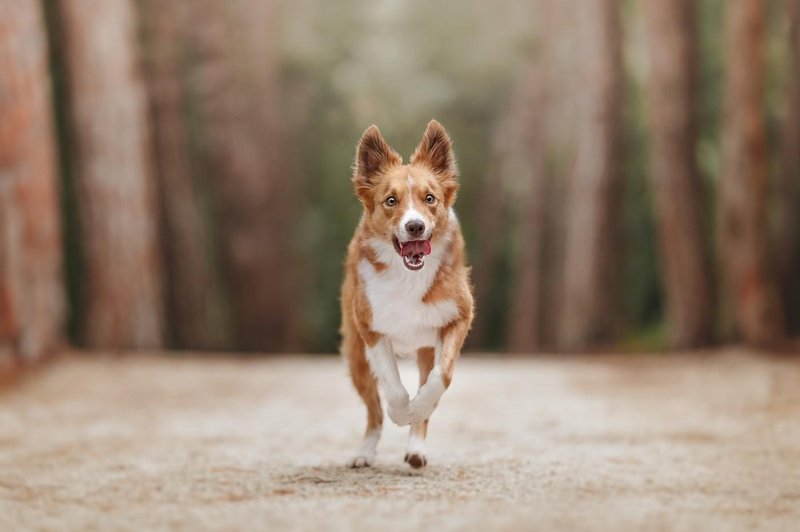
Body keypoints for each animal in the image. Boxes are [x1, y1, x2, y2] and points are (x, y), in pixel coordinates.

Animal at [340, 121, 476, 470]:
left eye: (430, 198)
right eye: (391, 200)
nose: (415, 226)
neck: (408, 276)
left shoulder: (458, 316)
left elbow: (441, 378)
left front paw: (418, 410)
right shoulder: (372, 328)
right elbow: (394, 387)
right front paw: (401, 412)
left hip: (425, 348)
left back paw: (416, 449)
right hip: (356, 356)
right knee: (373, 411)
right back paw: (365, 452)